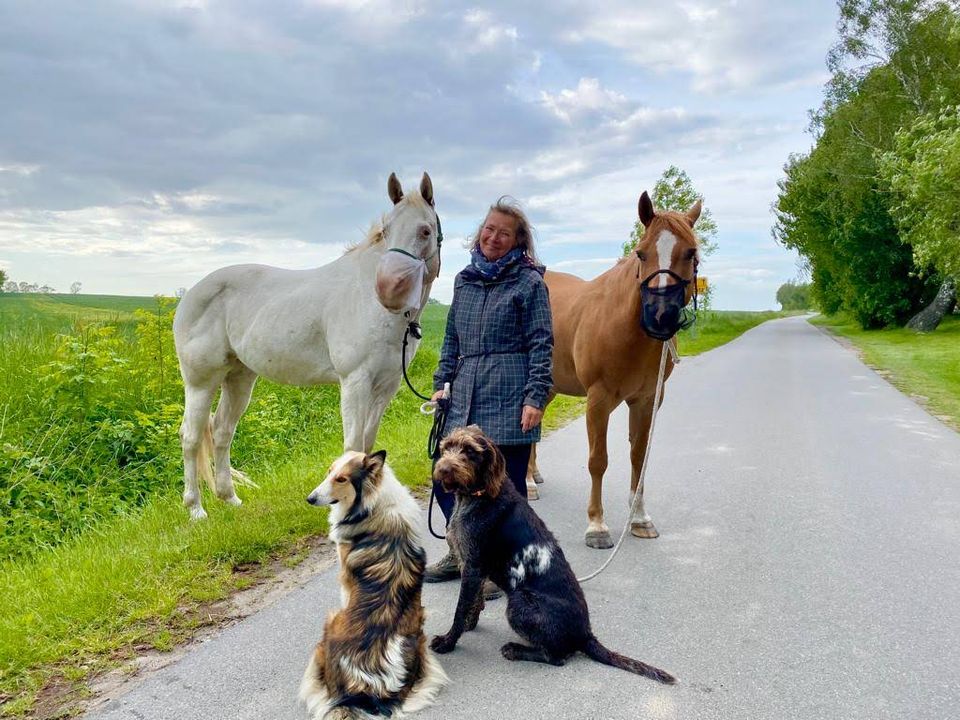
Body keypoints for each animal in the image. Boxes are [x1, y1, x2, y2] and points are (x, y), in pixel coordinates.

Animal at [173, 170, 442, 516]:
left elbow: (368, 445)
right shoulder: (355, 382)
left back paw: (230, 498)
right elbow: (353, 445)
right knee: (191, 437)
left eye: (425, 230)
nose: (388, 289)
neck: (369, 303)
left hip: (239, 377)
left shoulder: (386, 386)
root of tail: (190, 294)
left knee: (221, 431)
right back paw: (195, 509)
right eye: (386, 231)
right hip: (200, 382)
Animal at [428, 424, 676, 684]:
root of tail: (586, 634)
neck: (478, 494)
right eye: (446, 448)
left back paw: (516, 649)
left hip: (519, 602)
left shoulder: (474, 566)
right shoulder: (471, 565)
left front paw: (448, 642)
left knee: (557, 657)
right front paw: (469, 625)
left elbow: (460, 608)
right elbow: (473, 603)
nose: (442, 469)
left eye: (469, 451)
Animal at [528, 190, 700, 544]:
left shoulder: (647, 401)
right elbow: (598, 461)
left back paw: (534, 475)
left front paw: (640, 519)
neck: (624, 327)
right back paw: (526, 485)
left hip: (548, 387)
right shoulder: (599, 399)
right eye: (641, 253)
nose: (659, 315)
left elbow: (639, 457)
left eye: (690, 253)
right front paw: (597, 525)